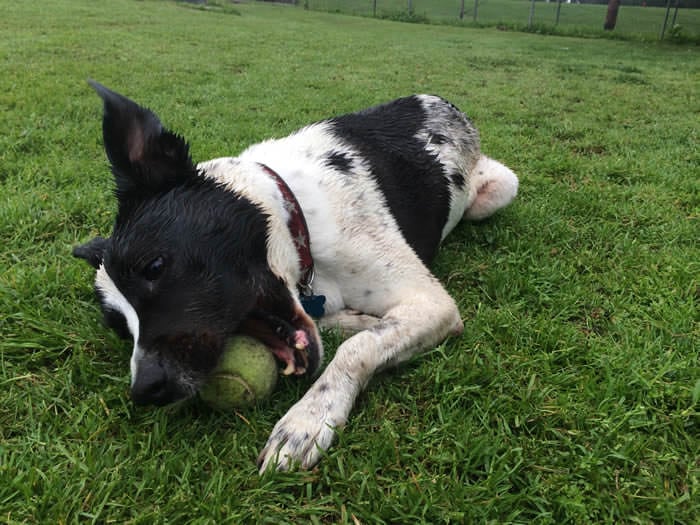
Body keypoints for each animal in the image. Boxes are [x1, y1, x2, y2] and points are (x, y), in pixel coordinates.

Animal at [74, 82, 516, 470]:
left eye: (154, 267)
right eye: (121, 330)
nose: (145, 389)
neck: (295, 210)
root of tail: (438, 100)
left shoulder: (433, 303)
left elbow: (356, 350)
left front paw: (307, 420)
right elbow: (353, 328)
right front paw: (356, 320)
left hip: (499, 189)